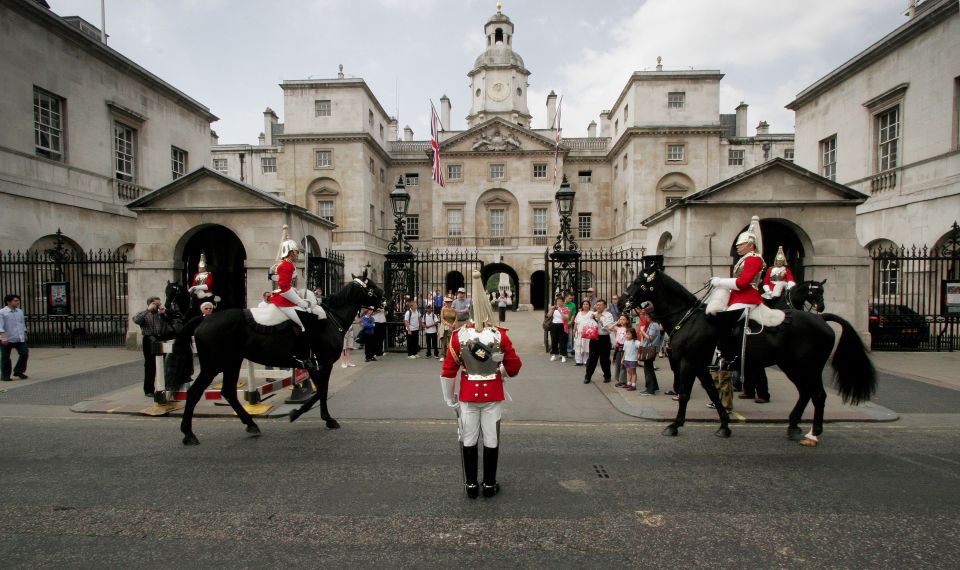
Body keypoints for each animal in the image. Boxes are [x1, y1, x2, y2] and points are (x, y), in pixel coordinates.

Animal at [172, 272, 382, 446]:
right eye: (372, 287)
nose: (385, 302)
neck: (329, 319)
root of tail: (205, 318)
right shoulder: (324, 362)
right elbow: (322, 390)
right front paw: (307, 415)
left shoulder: (313, 365)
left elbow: (320, 391)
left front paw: (310, 415)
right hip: (213, 365)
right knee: (194, 392)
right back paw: (188, 434)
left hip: (232, 361)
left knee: (229, 392)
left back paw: (251, 425)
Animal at [624, 268, 876, 446]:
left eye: (638, 283)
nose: (622, 301)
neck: (687, 318)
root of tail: (822, 319)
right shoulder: (701, 365)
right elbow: (713, 393)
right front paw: (724, 426)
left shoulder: (688, 362)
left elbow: (685, 394)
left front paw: (674, 426)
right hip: (791, 365)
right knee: (806, 393)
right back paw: (793, 426)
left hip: (807, 366)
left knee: (818, 395)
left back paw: (813, 434)